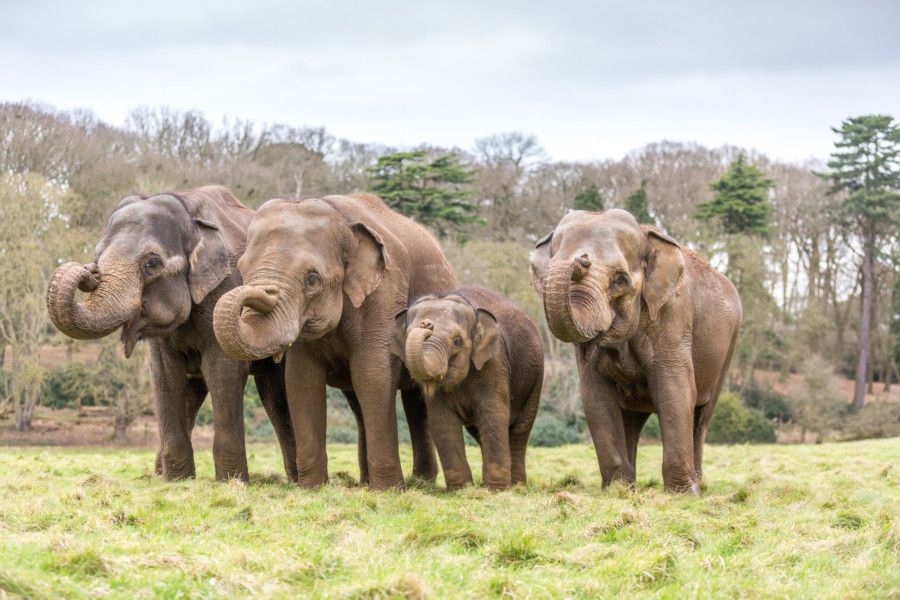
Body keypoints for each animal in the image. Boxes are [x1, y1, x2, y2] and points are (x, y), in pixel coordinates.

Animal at [45, 188, 296, 482]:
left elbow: (223, 371)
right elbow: (165, 375)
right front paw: (177, 481)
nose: (90, 272)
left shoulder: (227, 285)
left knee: (275, 394)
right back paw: (159, 475)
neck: (187, 208)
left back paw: (296, 481)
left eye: (152, 263)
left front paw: (231, 483)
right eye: (98, 255)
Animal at [213, 195, 458, 490]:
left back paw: (420, 482)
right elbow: (301, 380)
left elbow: (372, 374)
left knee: (413, 401)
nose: (261, 292)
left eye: (312, 279)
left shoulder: (385, 294)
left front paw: (387, 490)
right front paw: (311, 488)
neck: (336, 213)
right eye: (241, 269)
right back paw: (368, 482)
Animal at [388, 284, 540, 488]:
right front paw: (461, 489)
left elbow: (493, 413)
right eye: (406, 338)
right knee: (478, 431)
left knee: (520, 429)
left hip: (535, 380)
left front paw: (497, 490)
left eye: (457, 342)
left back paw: (516, 485)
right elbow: (442, 421)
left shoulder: (495, 361)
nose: (426, 324)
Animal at [532, 209, 740, 494]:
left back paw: (700, 484)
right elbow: (595, 397)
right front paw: (616, 492)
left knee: (701, 416)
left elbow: (675, 390)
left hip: (727, 350)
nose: (581, 260)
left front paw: (684, 494)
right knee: (631, 420)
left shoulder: (673, 313)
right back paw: (631, 486)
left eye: (620, 280)